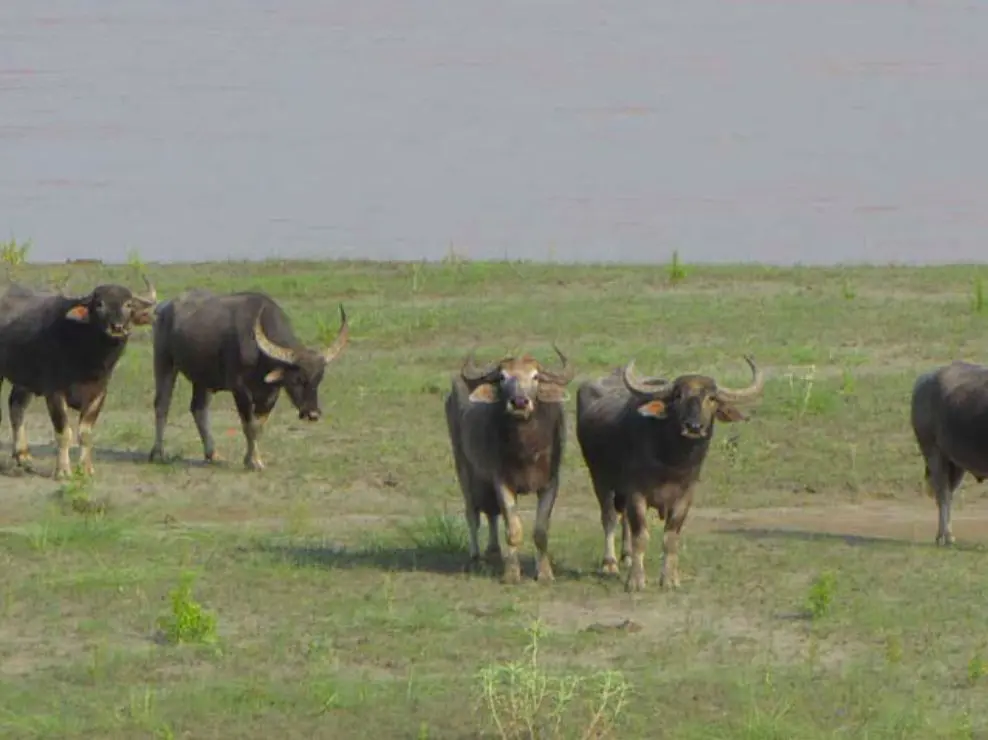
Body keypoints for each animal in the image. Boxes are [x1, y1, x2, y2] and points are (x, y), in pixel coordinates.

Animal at [0, 278, 158, 478]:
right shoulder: (55, 393)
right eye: (99, 304)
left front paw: (86, 468)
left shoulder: (99, 394)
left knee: (16, 406)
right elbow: (63, 432)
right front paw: (63, 470)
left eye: (128, 304)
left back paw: (23, 455)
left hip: (24, 380)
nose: (117, 328)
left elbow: (85, 433)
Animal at [147, 290, 348, 471]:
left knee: (199, 409)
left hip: (203, 379)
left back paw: (213, 454)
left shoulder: (271, 394)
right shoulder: (240, 390)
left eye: (319, 378)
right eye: (297, 379)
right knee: (162, 405)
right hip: (164, 362)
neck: (260, 355)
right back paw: (157, 453)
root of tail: (164, 307)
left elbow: (258, 426)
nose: (313, 414)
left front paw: (251, 458)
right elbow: (249, 426)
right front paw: (255, 462)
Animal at [444, 346, 574, 583]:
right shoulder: (502, 481)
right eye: (503, 377)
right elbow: (513, 529)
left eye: (535, 376)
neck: (526, 450)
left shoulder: (550, 482)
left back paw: (494, 552)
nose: (520, 402)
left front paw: (545, 573)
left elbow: (541, 531)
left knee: (491, 512)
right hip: (464, 466)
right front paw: (512, 574)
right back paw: (475, 557)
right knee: (472, 513)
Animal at [576, 356, 764, 591]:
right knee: (609, 516)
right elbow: (641, 535)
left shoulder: (685, 495)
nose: (693, 426)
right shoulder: (636, 492)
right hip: (599, 477)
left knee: (623, 518)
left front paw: (670, 579)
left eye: (711, 398)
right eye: (677, 396)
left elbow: (671, 537)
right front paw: (636, 580)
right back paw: (609, 563)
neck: (671, 462)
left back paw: (626, 556)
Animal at [910, 361, 988, 546]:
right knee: (943, 494)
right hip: (934, 454)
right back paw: (943, 536)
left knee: (949, 494)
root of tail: (924, 380)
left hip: (956, 464)